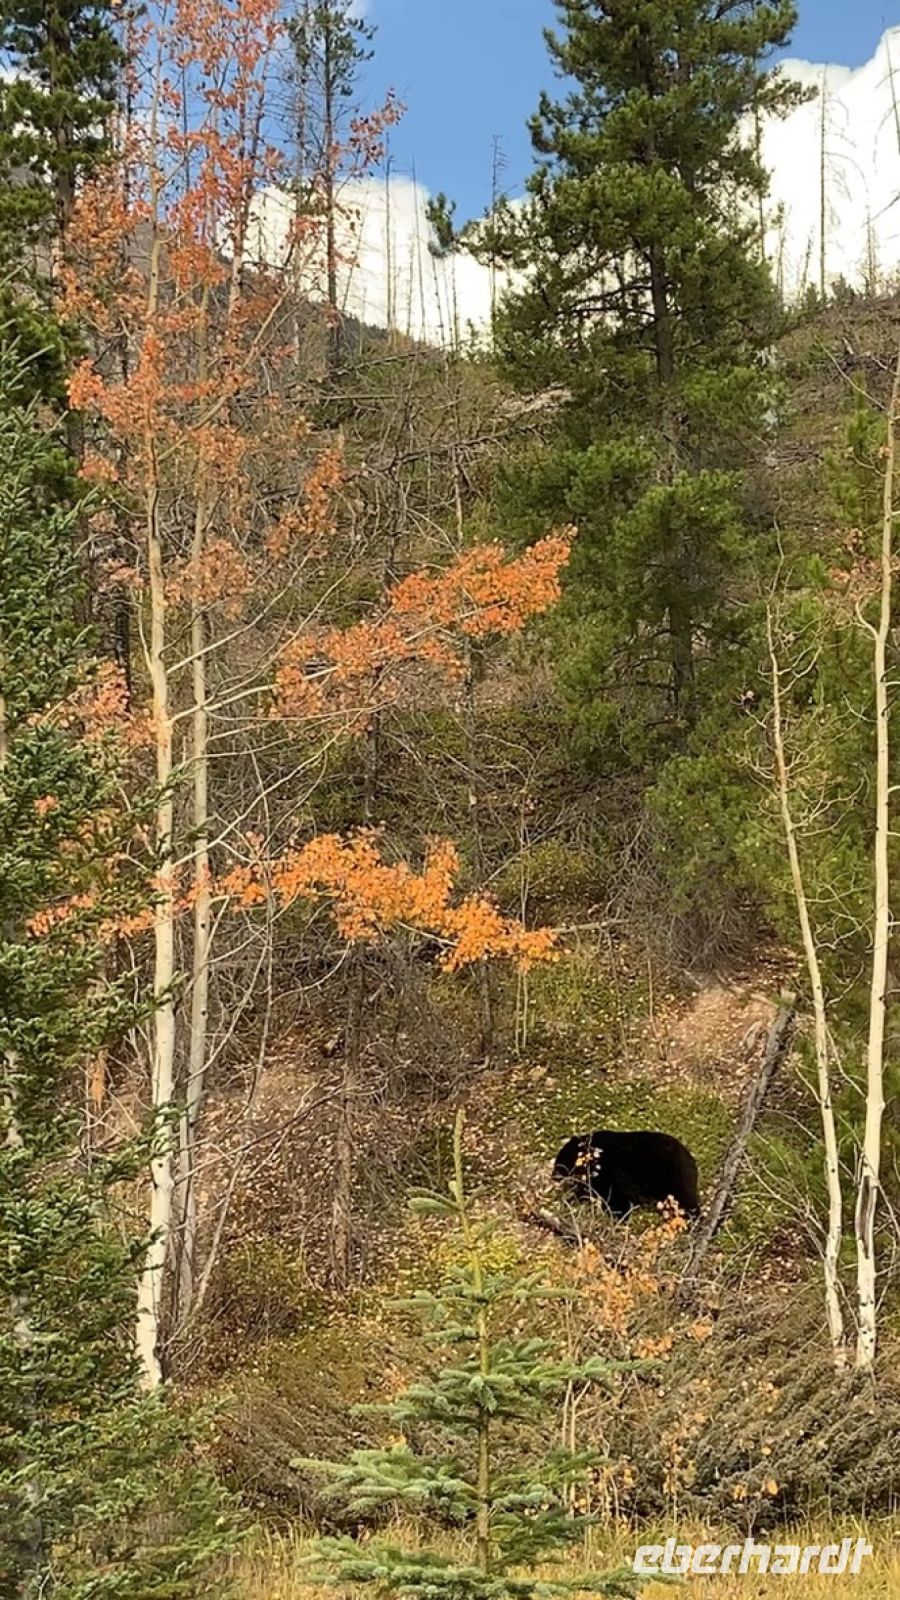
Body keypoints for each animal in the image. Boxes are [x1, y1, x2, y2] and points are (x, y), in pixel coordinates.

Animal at [552, 1129, 700, 1220]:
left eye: (559, 1163)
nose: (553, 1176)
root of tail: (690, 1159)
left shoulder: (612, 1173)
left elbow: (616, 1197)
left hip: (670, 1175)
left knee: (685, 1199)